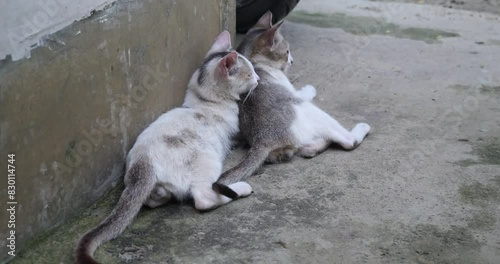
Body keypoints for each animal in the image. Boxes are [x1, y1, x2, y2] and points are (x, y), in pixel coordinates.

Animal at [77, 31, 262, 264]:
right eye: (249, 74)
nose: (259, 79)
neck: (203, 101)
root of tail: (143, 163)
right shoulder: (235, 129)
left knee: (153, 199)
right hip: (207, 159)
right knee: (203, 197)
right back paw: (240, 189)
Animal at [213, 11, 370, 194]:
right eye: (287, 51)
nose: (292, 61)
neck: (254, 61)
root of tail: (263, 140)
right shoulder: (291, 90)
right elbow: (302, 92)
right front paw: (310, 88)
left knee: (308, 149)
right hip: (309, 110)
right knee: (348, 142)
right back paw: (361, 129)